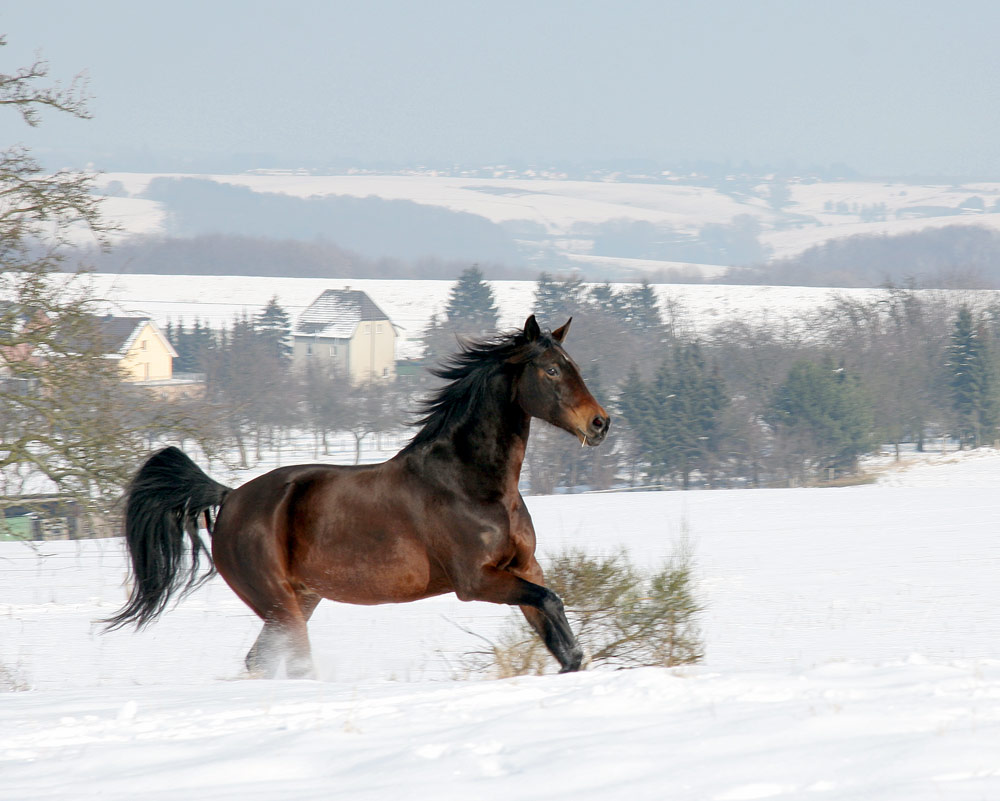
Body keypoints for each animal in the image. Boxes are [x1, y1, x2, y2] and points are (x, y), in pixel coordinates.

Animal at [107, 316, 608, 680]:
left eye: (576, 366)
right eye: (551, 370)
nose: (600, 423)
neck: (471, 484)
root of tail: (230, 498)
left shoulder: (523, 567)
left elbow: (549, 610)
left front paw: (574, 661)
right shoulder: (476, 581)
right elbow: (549, 601)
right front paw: (576, 660)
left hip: (300, 599)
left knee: (261, 660)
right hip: (279, 603)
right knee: (292, 662)